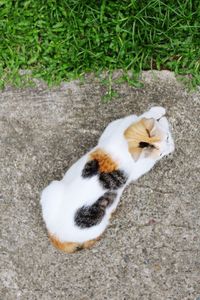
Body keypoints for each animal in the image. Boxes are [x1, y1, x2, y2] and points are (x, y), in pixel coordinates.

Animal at [40, 106, 175, 252]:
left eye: (167, 138)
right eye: (160, 154)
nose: (171, 147)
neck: (126, 143)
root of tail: (57, 237)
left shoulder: (113, 127)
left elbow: (140, 117)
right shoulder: (140, 167)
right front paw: (161, 116)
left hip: (51, 189)